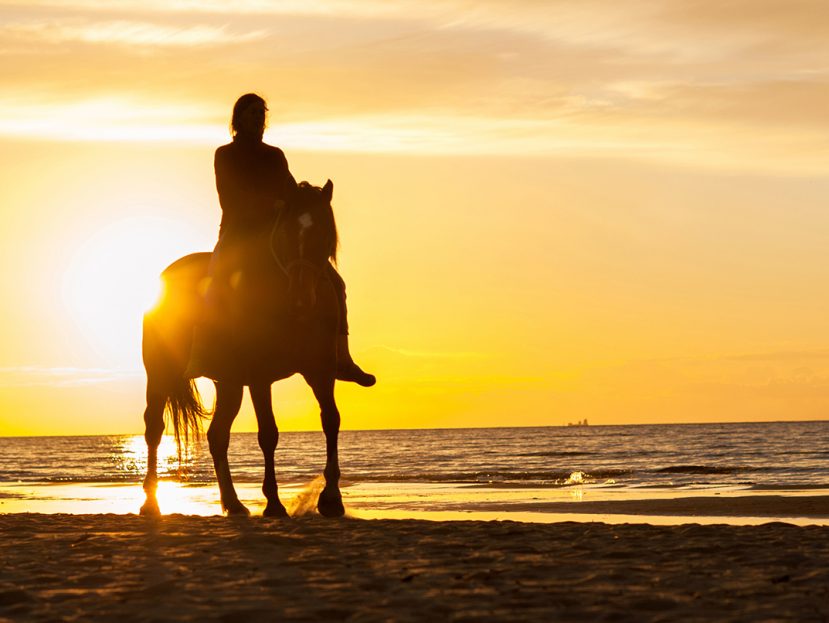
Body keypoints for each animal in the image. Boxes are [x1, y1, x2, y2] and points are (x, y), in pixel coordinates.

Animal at [138, 182, 342, 520]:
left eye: (325, 232)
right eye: (286, 234)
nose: (301, 298)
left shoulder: (321, 370)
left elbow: (332, 421)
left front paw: (332, 498)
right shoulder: (260, 376)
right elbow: (268, 433)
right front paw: (273, 503)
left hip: (228, 382)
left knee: (217, 436)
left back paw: (233, 503)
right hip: (159, 372)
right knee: (154, 428)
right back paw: (150, 503)